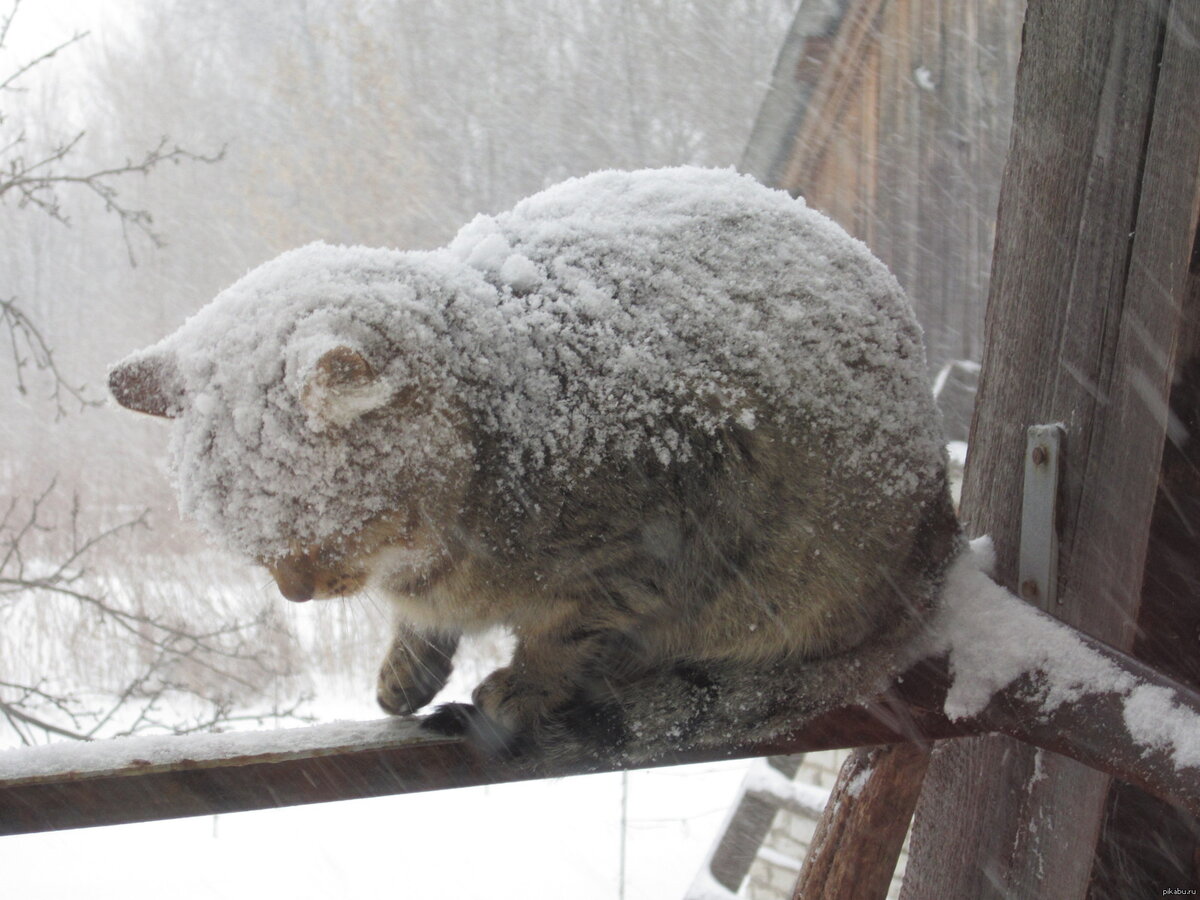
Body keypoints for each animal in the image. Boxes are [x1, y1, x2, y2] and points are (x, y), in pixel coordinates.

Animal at [108, 168, 960, 763]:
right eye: (242, 537)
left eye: (311, 522)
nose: (294, 591)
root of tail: (942, 529)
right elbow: (424, 623)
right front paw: (407, 663)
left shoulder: (667, 527)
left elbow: (567, 632)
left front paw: (524, 684)